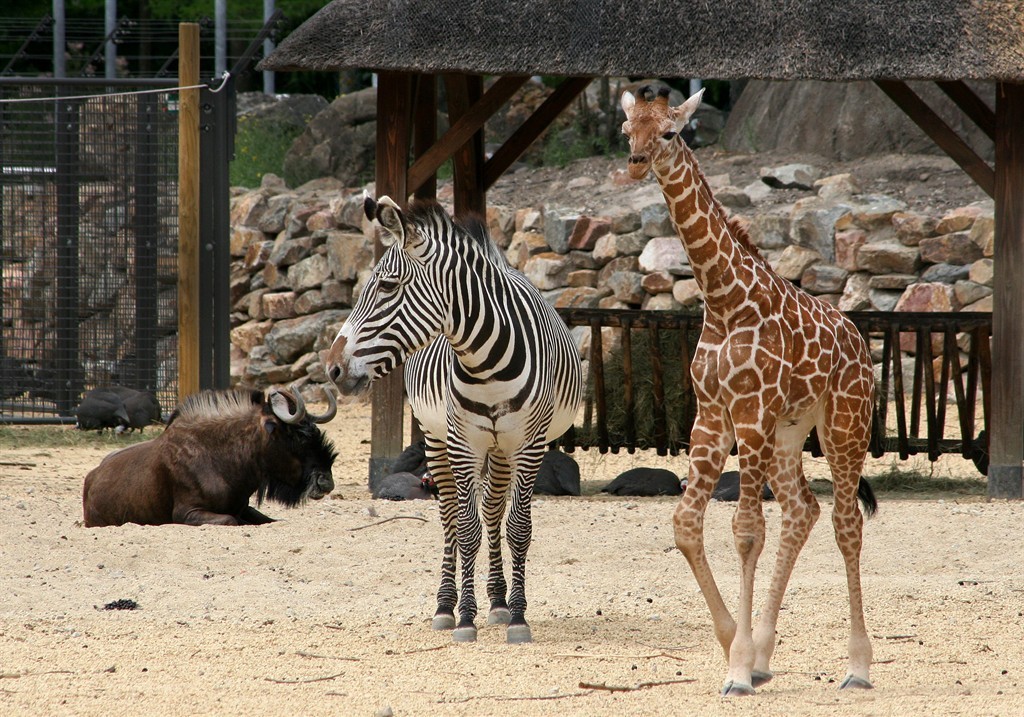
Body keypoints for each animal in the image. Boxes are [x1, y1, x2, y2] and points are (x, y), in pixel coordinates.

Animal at [327, 195, 585, 643]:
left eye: (387, 286)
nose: (333, 369)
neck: (487, 364)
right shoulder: (462, 443)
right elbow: (466, 528)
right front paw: (464, 617)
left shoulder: (530, 445)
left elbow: (518, 527)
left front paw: (517, 615)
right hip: (436, 438)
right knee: (450, 516)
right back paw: (446, 605)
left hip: (500, 449)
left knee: (495, 511)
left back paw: (498, 601)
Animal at [618, 83, 876, 696]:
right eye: (628, 130)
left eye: (670, 132)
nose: (635, 164)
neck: (723, 299)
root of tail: (861, 343)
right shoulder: (713, 416)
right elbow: (687, 525)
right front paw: (734, 645)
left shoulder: (750, 413)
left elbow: (745, 530)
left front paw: (735, 669)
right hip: (790, 431)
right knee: (803, 509)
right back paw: (763, 653)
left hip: (844, 424)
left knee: (846, 523)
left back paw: (857, 666)